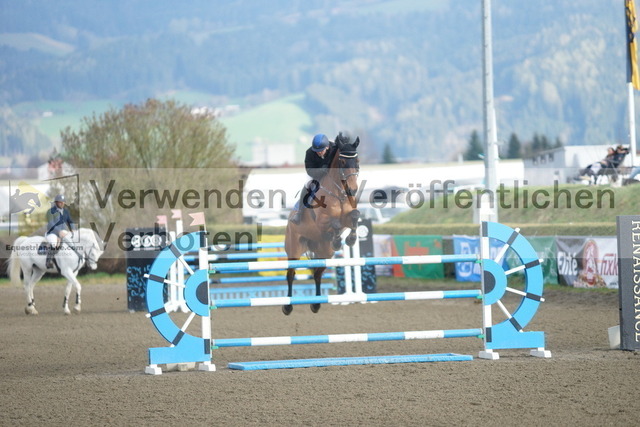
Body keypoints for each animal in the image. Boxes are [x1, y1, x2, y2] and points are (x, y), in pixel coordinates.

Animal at [284, 132, 360, 316]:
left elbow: (354, 216)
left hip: (325, 252)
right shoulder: (321, 221)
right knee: (290, 274)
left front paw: (350, 239)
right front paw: (339, 239)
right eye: (342, 162)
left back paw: (316, 304)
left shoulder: (349, 216)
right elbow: (334, 222)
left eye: (357, 161)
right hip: (294, 248)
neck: (340, 192)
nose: (353, 191)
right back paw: (288, 306)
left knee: (318, 274)